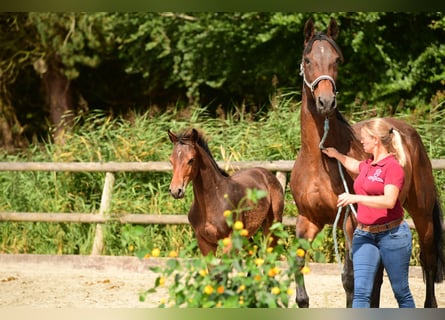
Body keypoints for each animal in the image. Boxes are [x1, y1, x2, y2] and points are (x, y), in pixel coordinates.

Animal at [168, 127, 282, 255]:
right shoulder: (205, 243)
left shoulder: (230, 241)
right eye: (171, 161)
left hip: (272, 226)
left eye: (191, 160)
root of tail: (266, 173)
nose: (176, 190)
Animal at [290, 17, 442, 308]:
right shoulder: (308, 220)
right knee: (379, 275)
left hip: (422, 215)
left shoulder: (350, 220)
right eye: (307, 59)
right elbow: (299, 271)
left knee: (427, 261)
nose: (326, 102)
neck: (318, 160)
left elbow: (351, 279)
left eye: (337, 60)